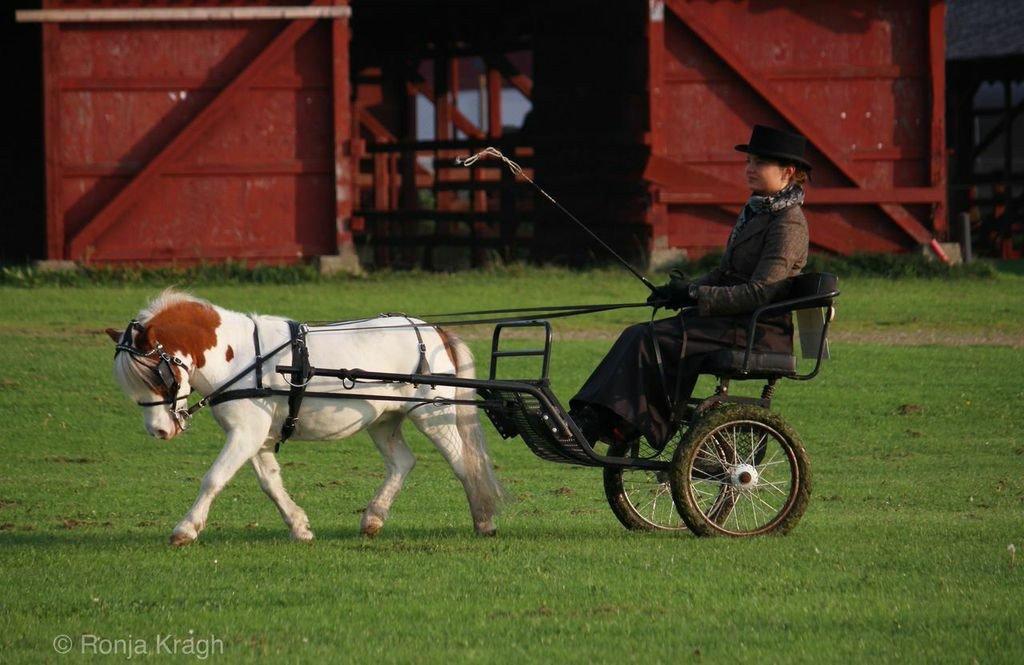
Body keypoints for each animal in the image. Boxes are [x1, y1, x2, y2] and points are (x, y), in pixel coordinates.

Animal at [105, 288, 501, 545]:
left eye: (158, 375)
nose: (159, 431)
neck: (243, 355)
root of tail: (432, 329)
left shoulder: (245, 433)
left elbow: (214, 478)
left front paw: (185, 529)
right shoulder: (258, 436)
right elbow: (270, 483)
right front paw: (299, 527)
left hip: (434, 413)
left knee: (463, 463)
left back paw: (483, 520)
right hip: (383, 420)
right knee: (403, 462)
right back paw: (373, 518)